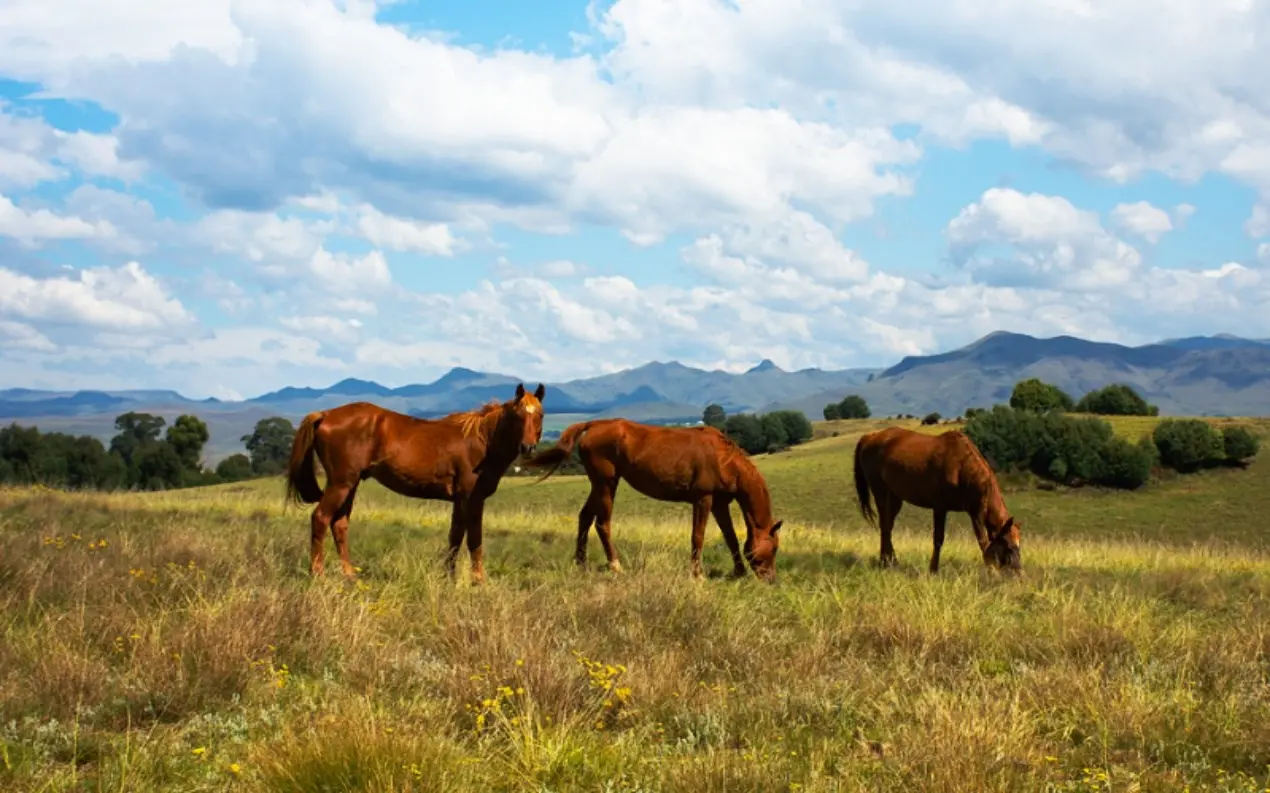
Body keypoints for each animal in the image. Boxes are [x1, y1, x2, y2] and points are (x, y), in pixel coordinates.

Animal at [283, 383, 546, 582]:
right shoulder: (473, 498)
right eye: (518, 415)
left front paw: (448, 577)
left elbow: (455, 537)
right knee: (320, 518)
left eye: (540, 414)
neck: (482, 440)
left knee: (339, 524)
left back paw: (349, 574)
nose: (528, 448)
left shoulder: (459, 500)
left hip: (350, 485)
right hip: (340, 484)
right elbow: (474, 539)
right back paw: (317, 573)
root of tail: (325, 414)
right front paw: (478, 580)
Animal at [525, 421, 782, 582]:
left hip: (599, 485)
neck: (724, 459)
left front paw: (739, 572)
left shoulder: (720, 504)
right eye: (774, 548)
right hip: (606, 484)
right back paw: (615, 566)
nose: (771, 579)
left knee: (585, 517)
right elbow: (697, 536)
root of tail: (594, 425)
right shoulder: (703, 500)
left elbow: (730, 538)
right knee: (602, 523)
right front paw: (698, 574)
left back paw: (581, 563)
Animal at [853, 427, 1021, 576]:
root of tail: (869, 437)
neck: (962, 469)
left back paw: (891, 562)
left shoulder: (974, 512)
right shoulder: (943, 509)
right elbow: (944, 539)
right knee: (885, 526)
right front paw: (934, 570)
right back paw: (885, 562)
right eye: (1008, 545)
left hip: (895, 497)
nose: (1019, 574)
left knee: (888, 526)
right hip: (880, 492)